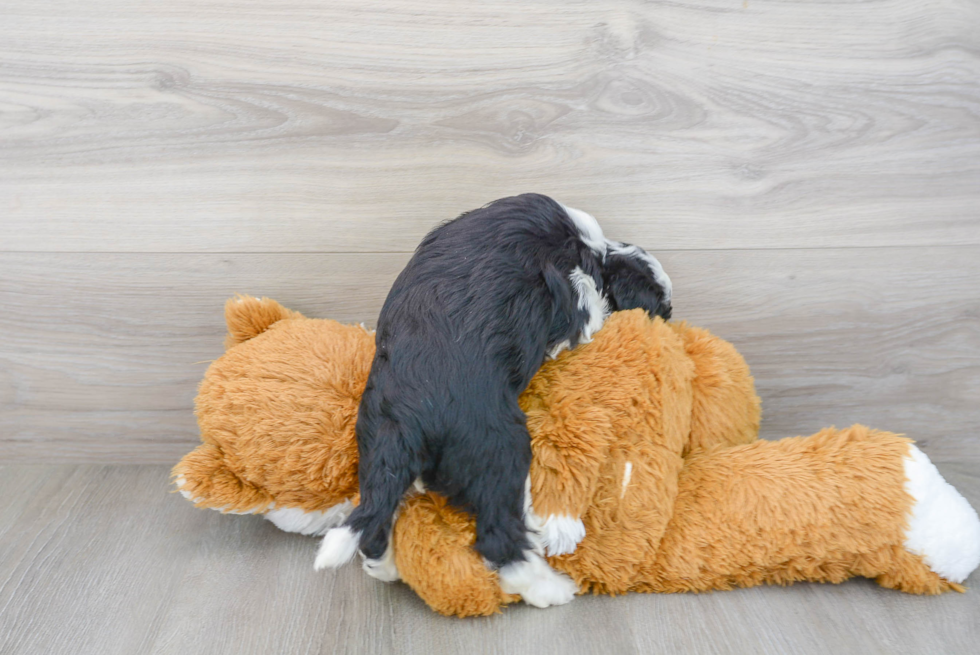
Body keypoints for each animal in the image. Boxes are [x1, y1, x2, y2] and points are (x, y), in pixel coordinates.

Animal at [318, 195, 668, 608]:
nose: (669, 322)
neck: (594, 251)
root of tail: (409, 419)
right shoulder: (573, 293)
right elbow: (586, 312)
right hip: (501, 449)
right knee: (498, 539)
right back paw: (550, 587)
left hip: (376, 448)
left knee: (375, 514)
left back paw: (386, 566)